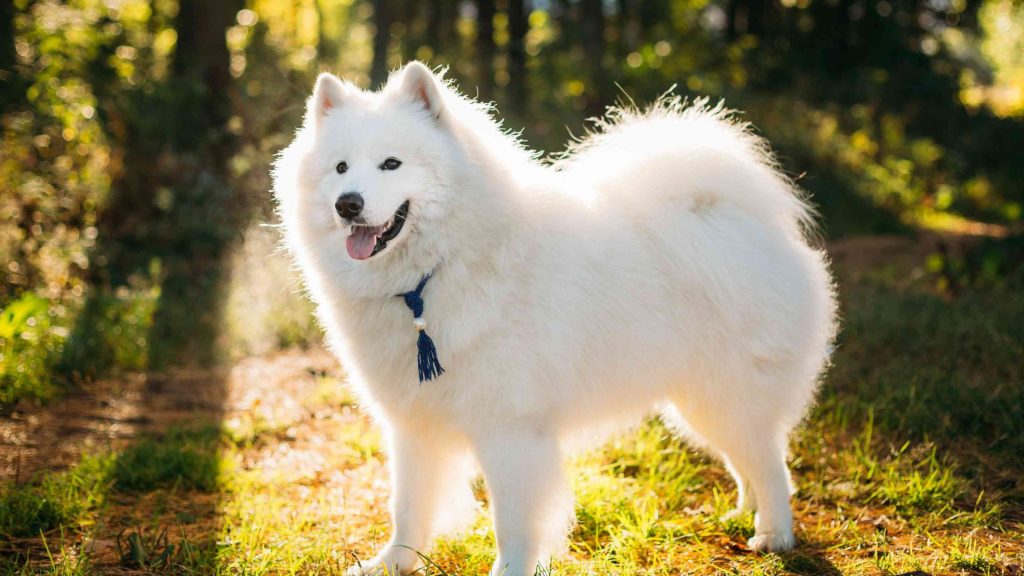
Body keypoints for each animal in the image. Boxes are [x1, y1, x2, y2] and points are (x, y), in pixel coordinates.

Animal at [270, 62, 831, 573]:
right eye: (341, 168)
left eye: (391, 163)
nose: (348, 204)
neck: (431, 279)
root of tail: (735, 214)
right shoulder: (412, 421)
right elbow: (407, 507)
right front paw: (392, 563)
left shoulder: (511, 430)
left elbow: (513, 523)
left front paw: (510, 570)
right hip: (699, 402)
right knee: (747, 461)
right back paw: (741, 514)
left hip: (726, 394)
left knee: (771, 463)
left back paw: (774, 535)